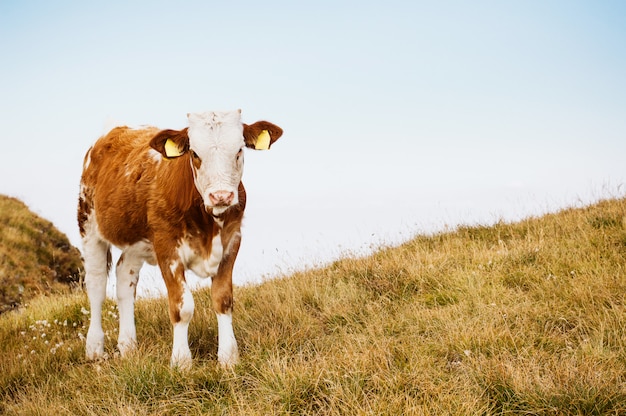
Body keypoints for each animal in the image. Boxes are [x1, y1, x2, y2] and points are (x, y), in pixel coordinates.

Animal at [77, 109, 282, 368]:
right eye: (194, 154)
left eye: (239, 150)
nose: (221, 196)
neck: (208, 227)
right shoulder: (167, 249)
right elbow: (182, 307)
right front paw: (181, 361)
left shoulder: (232, 240)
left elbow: (223, 300)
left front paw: (228, 358)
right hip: (88, 223)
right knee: (96, 285)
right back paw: (94, 347)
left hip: (137, 242)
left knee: (125, 278)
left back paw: (128, 346)